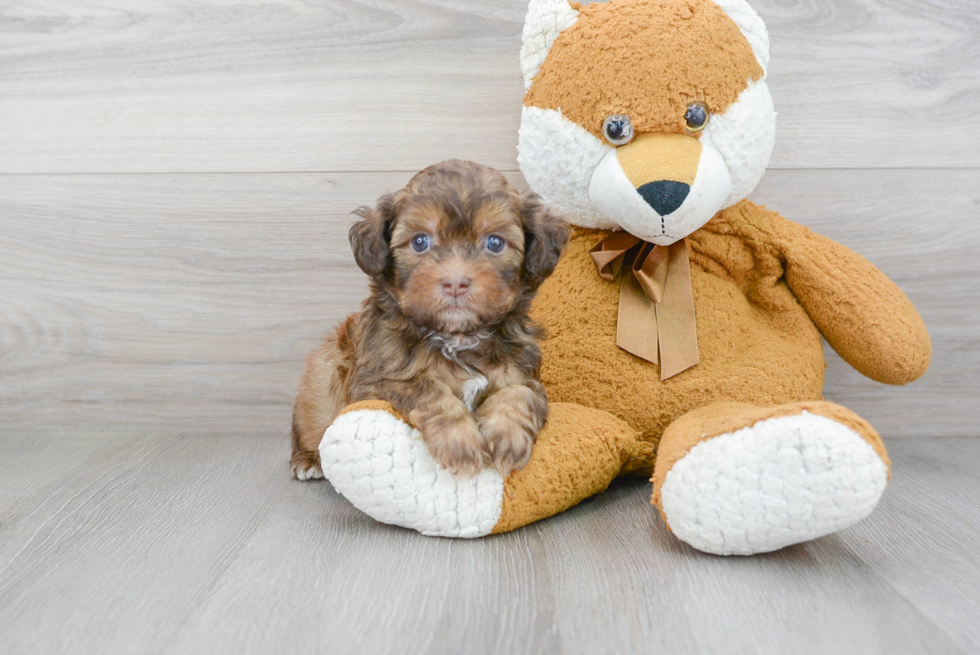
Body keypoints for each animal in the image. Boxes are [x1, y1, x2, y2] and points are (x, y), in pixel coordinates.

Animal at [288, 160, 572, 482]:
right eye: (420, 242)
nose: (455, 282)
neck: (457, 337)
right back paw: (308, 459)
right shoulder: (377, 382)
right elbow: (427, 389)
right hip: (321, 379)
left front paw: (506, 438)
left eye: (495, 243)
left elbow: (518, 393)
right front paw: (460, 443)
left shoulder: (523, 374)